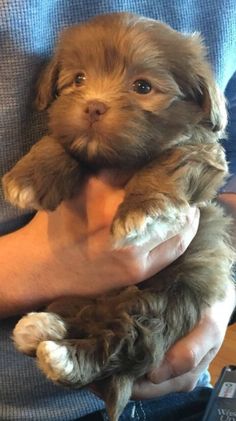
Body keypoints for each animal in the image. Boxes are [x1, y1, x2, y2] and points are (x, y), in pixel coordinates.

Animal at [2, 12, 235, 420]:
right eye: (79, 79)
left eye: (142, 87)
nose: (93, 107)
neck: (113, 160)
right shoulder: (70, 129)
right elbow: (59, 138)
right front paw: (30, 175)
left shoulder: (202, 152)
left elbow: (167, 163)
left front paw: (142, 210)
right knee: (85, 315)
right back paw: (44, 328)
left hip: (162, 299)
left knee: (125, 337)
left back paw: (64, 356)